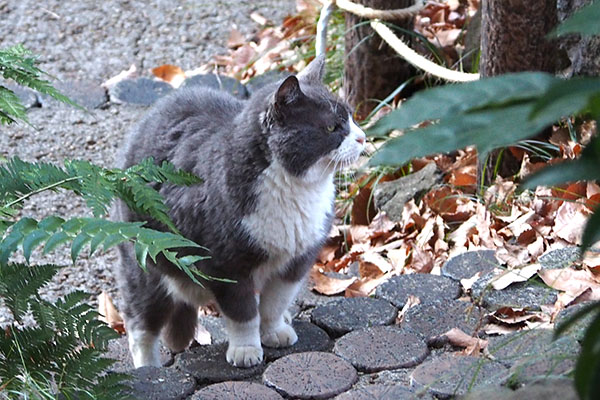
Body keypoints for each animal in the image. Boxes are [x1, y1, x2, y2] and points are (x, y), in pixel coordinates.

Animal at [112, 54, 366, 368]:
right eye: (332, 127)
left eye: (352, 116)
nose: (363, 137)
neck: (297, 191)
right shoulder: (228, 264)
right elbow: (243, 312)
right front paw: (246, 350)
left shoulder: (297, 259)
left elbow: (274, 302)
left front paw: (274, 331)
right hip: (145, 264)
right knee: (141, 323)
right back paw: (148, 367)